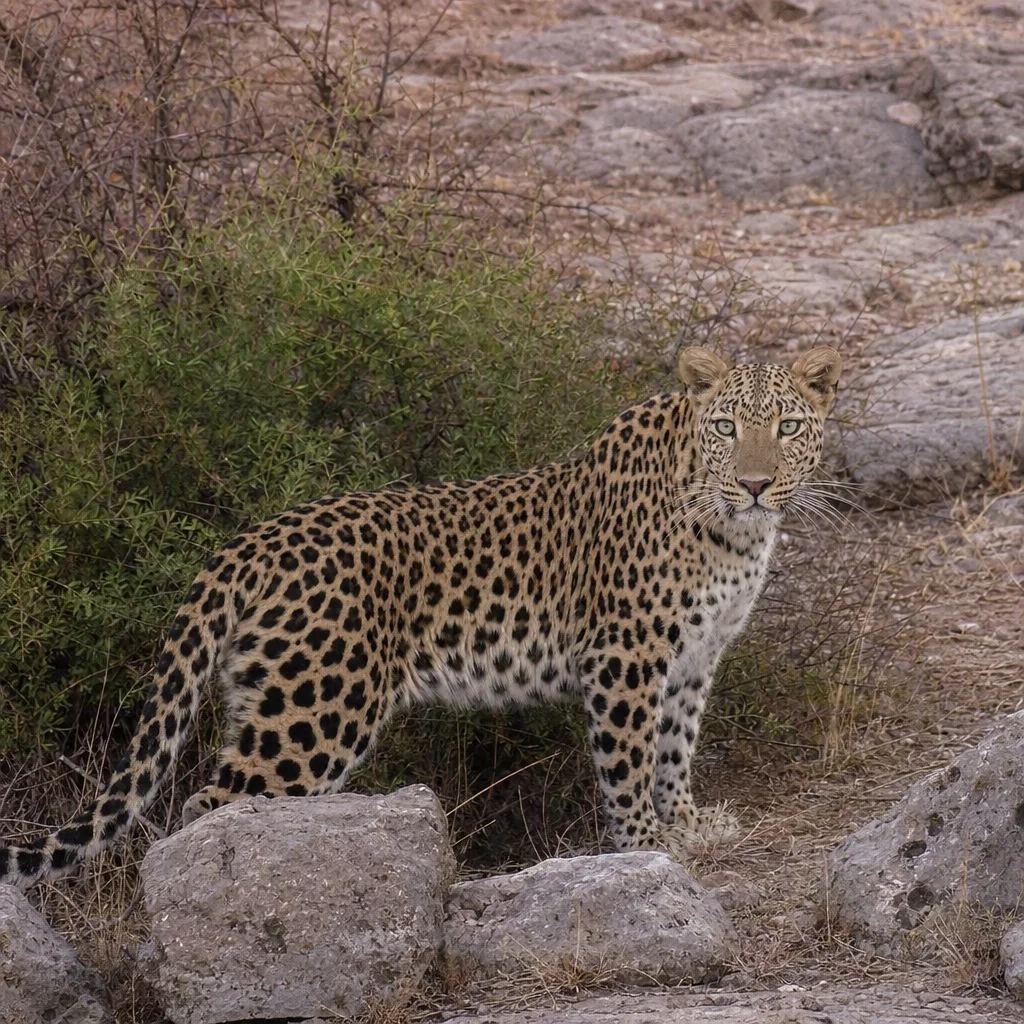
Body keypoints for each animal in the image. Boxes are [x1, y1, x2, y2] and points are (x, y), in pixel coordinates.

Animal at [0, 345, 842, 887]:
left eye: (789, 427)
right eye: (726, 427)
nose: (756, 484)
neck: (733, 533)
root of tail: (255, 538)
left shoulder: (694, 659)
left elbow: (675, 747)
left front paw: (687, 824)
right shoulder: (627, 655)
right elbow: (631, 758)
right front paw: (643, 846)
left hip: (264, 697)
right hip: (316, 712)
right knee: (210, 802)